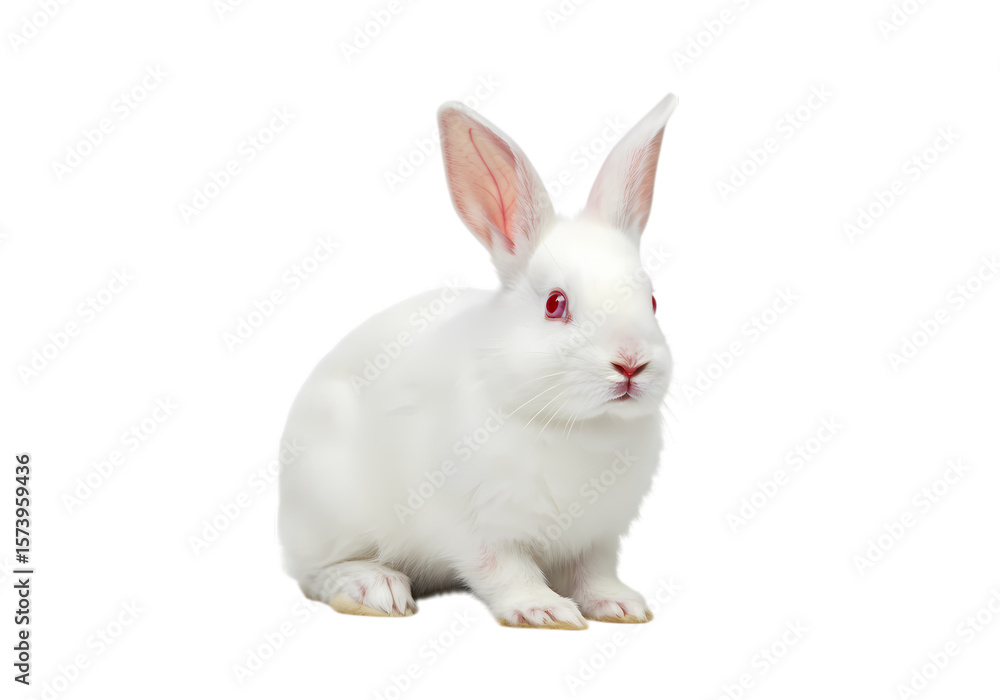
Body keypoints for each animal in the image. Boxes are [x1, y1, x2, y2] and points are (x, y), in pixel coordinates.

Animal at [278, 93, 679, 629]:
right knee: (316, 572)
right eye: (555, 303)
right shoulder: (477, 529)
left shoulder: (596, 539)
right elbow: (505, 570)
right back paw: (375, 590)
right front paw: (545, 610)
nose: (631, 364)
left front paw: (621, 605)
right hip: (332, 509)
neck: (574, 424)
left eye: (652, 301)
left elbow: (594, 574)